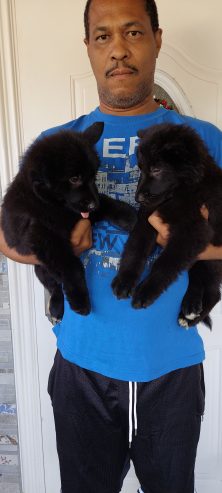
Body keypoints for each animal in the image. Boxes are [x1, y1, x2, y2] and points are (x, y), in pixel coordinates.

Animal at [1, 123, 137, 320]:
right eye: (74, 179)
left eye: (94, 176)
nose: (93, 204)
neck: (51, 203)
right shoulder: (43, 238)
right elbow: (72, 266)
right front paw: (81, 299)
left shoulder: (82, 213)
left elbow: (106, 201)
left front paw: (128, 215)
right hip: (41, 269)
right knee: (55, 287)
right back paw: (57, 308)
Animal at [112, 122, 222, 326]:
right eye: (141, 168)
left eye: (157, 169)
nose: (138, 198)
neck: (179, 193)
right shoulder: (147, 218)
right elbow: (135, 249)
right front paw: (125, 280)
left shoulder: (193, 232)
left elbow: (165, 264)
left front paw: (145, 291)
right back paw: (190, 308)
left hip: (211, 258)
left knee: (213, 292)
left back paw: (190, 316)